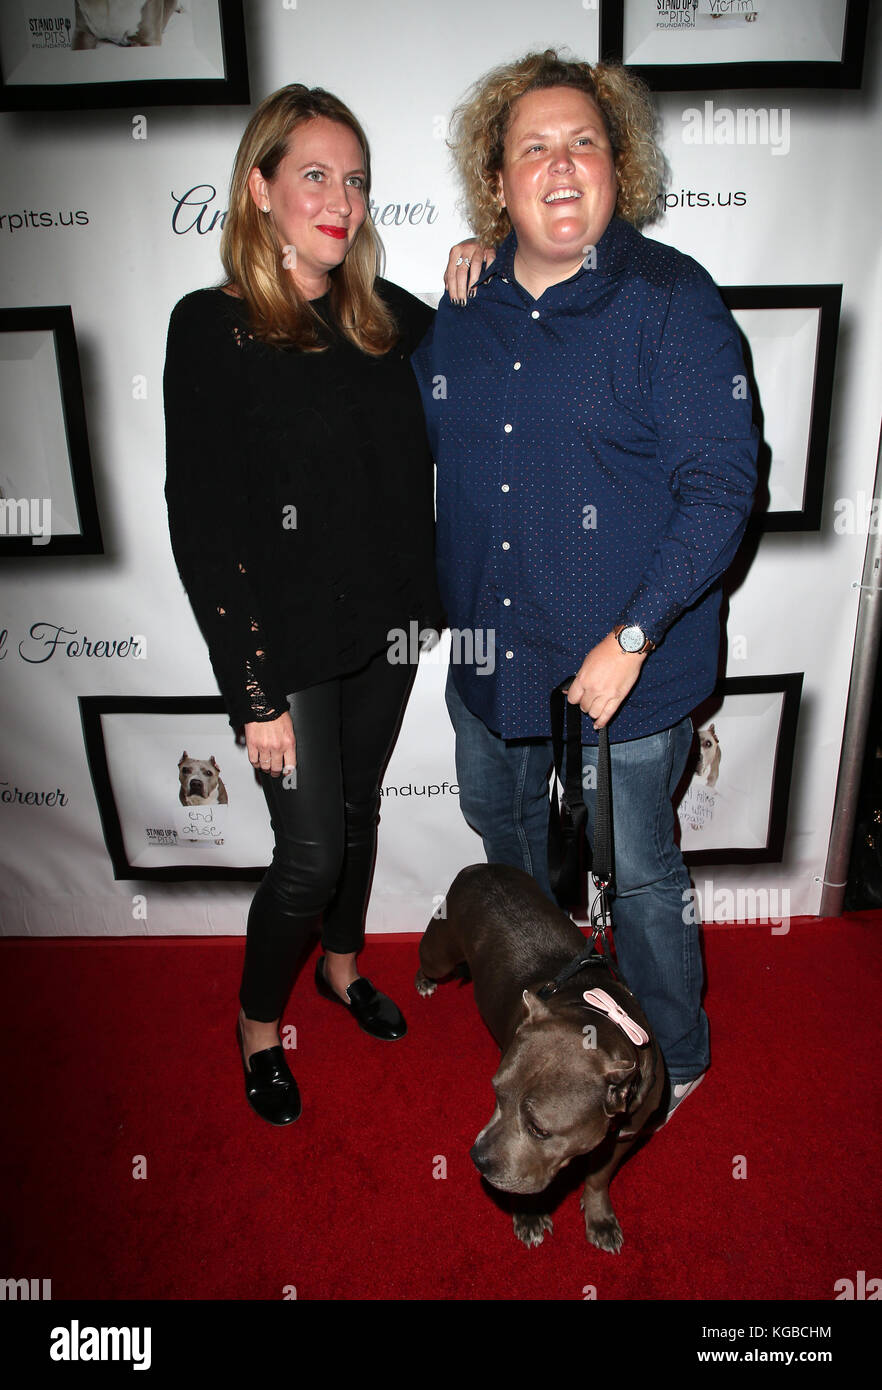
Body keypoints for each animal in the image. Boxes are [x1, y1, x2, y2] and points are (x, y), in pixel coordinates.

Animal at [416, 861, 661, 1256]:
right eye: (496, 1095)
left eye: (539, 1129)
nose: (477, 1159)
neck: (598, 1018)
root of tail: (479, 867)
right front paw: (528, 1215)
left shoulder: (626, 1135)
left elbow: (598, 1176)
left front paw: (599, 1217)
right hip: (440, 951)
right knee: (429, 960)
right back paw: (424, 981)